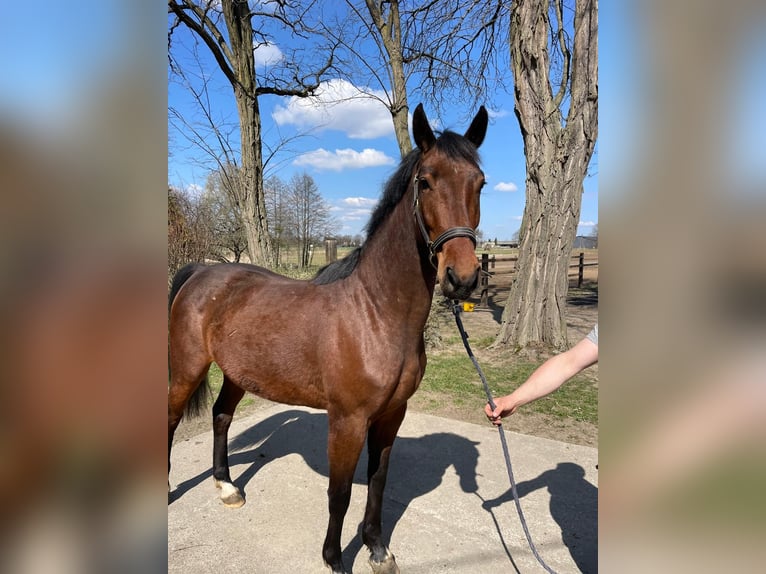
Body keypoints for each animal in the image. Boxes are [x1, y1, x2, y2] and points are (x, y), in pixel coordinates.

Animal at [168, 103, 488, 574]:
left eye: (479, 183)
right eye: (425, 181)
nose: (461, 278)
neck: (375, 314)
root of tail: (201, 272)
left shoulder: (391, 416)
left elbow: (377, 482)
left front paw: (377, 549)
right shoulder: (347, 421)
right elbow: (340, 493)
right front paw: (335, 560)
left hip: (236, 374)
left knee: (221, 416)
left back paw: (227, 487)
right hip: (187, 368)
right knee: (172, 419)